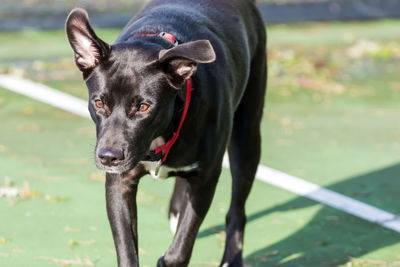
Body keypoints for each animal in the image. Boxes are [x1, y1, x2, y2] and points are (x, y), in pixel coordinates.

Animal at [65, 0, 266, 266]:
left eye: (143, 107)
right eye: (99, 103)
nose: (108, 157)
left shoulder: (205, 180)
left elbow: (181, 248)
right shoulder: (120, 182)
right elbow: (127, 249)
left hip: (247, 137)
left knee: (237, 211)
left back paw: (232, 257)